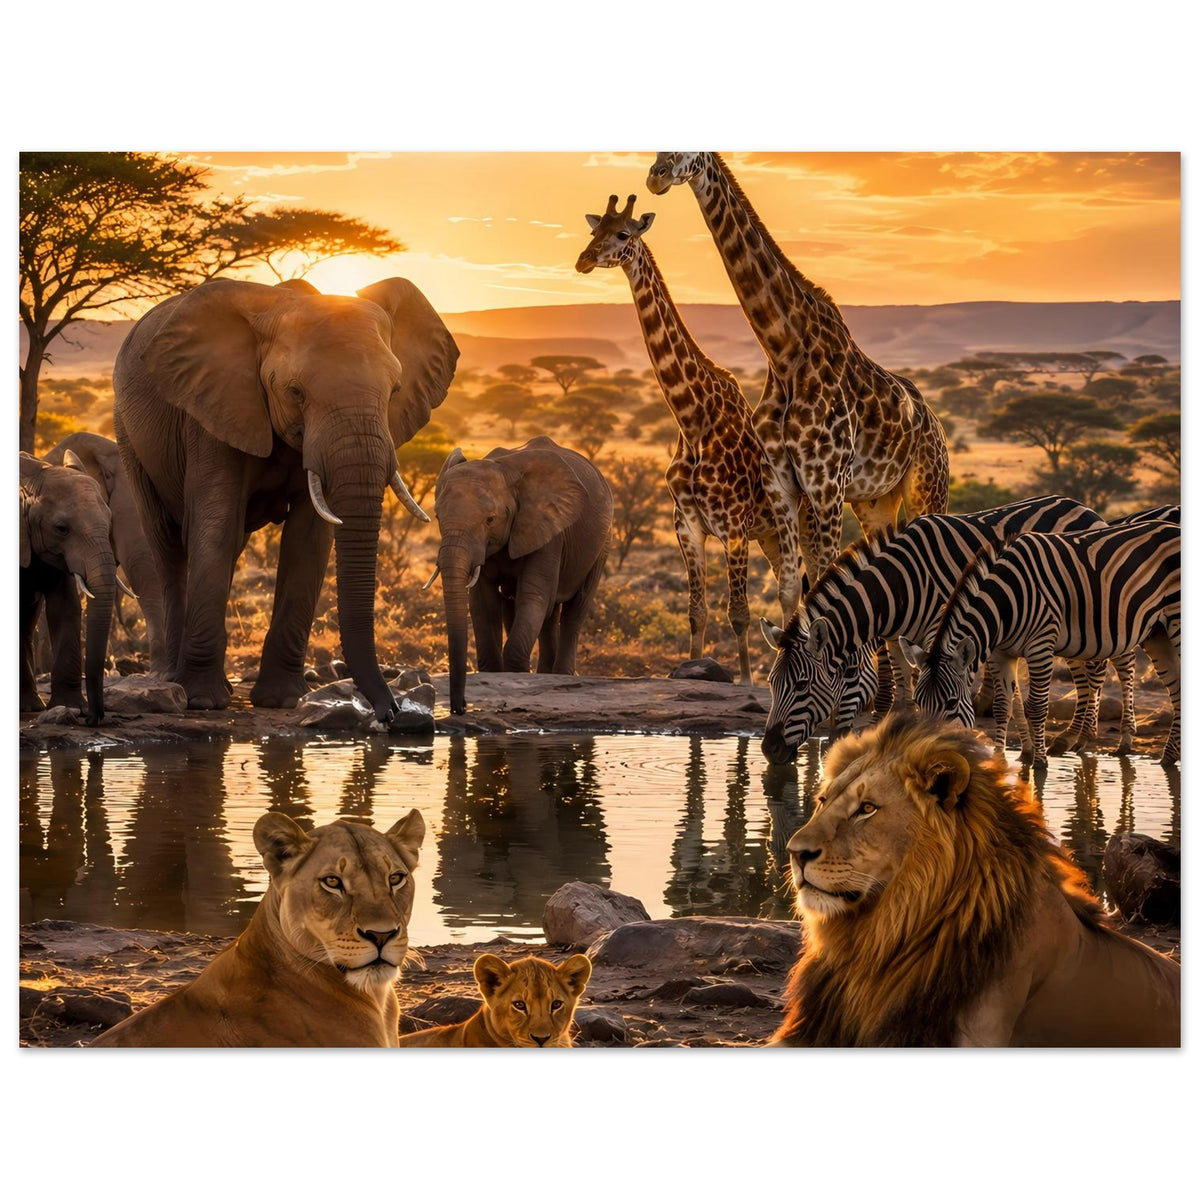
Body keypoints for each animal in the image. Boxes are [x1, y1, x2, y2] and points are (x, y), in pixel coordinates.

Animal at [759, 495, 1105, 763]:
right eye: (771, 683)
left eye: (802, 685)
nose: (769, 750)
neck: (899, 586)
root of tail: (1083, 507)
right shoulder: (899, 639)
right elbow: (903, 696)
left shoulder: (941, 633)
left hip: (1079, 614)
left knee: (1094, 671)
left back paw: (1079, 738)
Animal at [906, 519, 1180, 766]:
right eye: (918, 702)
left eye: (951, 703)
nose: (926, 756)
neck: (1004, 603)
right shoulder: (1000, 653)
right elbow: (1001, 706)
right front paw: (999, 761)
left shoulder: (1040, 646)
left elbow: (1036, 707)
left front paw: (1040, 764)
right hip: (1156, 632)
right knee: (1176, 686)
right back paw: (1169, 758)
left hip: (1174, 621)